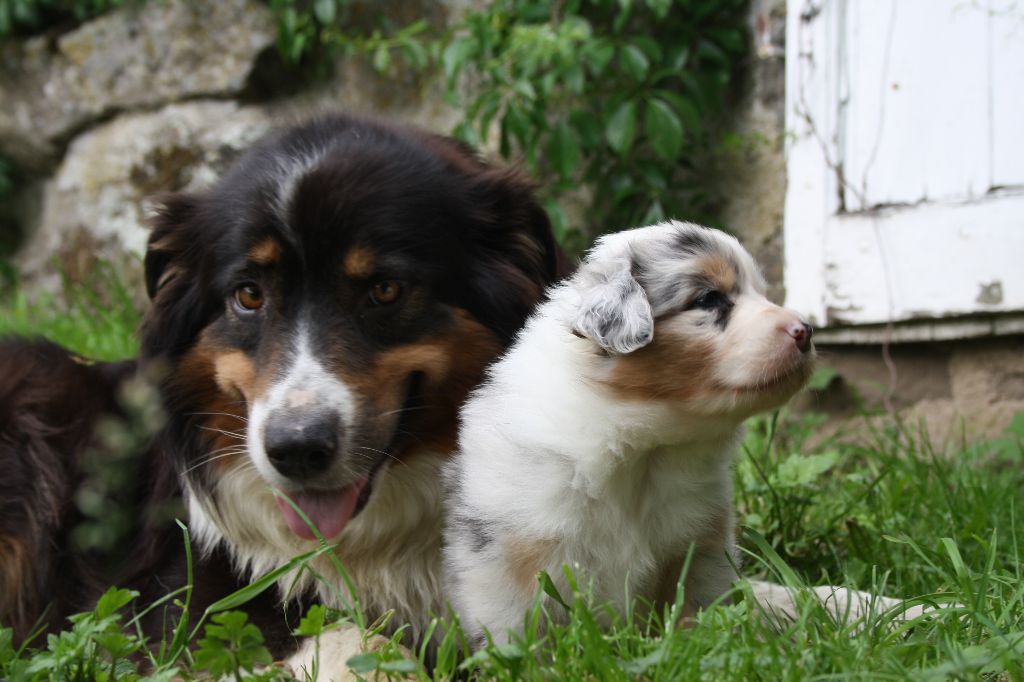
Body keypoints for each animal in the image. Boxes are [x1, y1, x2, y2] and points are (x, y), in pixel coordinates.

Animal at [444, 221, 815, 646]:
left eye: (762, 293)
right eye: (709, 299)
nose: (806, 331)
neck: (644, 447)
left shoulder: (699, 545)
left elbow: (698, 610)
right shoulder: (506, 555)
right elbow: (519, 631)